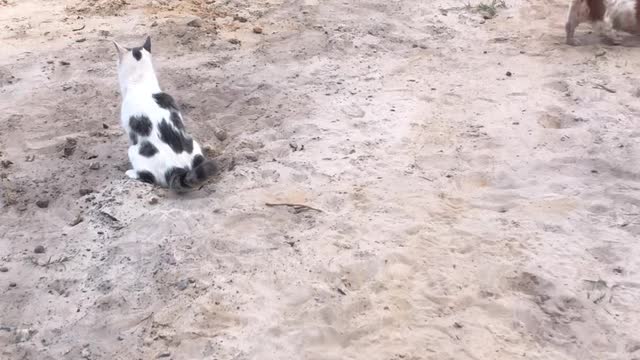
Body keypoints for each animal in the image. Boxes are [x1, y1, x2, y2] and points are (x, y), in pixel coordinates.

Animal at [112, 37, 218, 191]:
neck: (141, 83)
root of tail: (179, 169)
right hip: (193, 143)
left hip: (133, 150)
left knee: (148, 177)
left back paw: (131, 173)